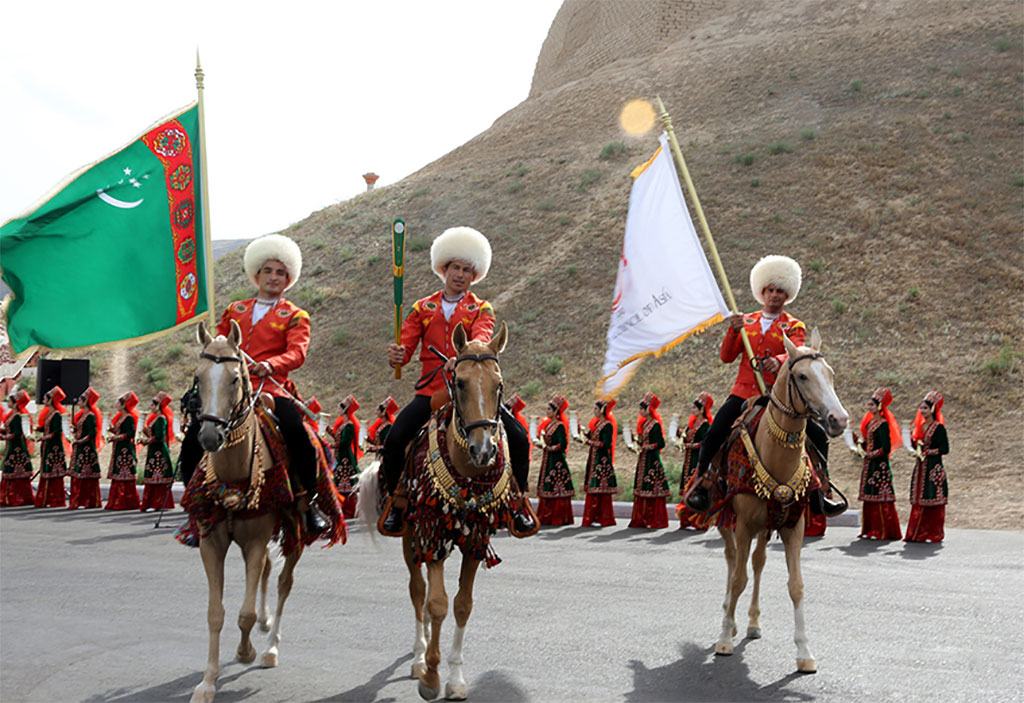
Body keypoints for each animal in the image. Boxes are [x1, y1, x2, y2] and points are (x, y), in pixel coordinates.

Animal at [187, 323, 301, 703]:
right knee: (268, 571)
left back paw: (270, 647)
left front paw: (246, 651)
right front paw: (207, 681)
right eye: (198, 377)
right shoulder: (212, 543)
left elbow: (245, 613)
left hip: (297, 532)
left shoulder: (254, 542)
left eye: (235, 378)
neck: (233, 472)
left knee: (283, 582)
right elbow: (215, 613)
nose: (210, 435)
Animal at [360, 321, 520, 699]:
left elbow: (461, 605)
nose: (483, 449)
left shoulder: (475, 540)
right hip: (409, 535)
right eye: (459, 382)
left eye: (498, 384)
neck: (467, 471)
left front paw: (456, 680)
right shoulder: (431, 533)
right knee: (418, 591)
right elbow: (436, 604)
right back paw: (419, 657)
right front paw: (431, 677)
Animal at [712, 327, 847, 675]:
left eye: (830, 373)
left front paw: (804, 653)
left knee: (757, 562)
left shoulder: (793, 526)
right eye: (801, 376)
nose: (838, 419)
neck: (775, 455)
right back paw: (728, 618)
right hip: (727, 521)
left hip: (766, 525)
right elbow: (738, 578)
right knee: (733, 561)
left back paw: (752, 623)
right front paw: (724, 638)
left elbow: (795, 585)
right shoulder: (743, 525)